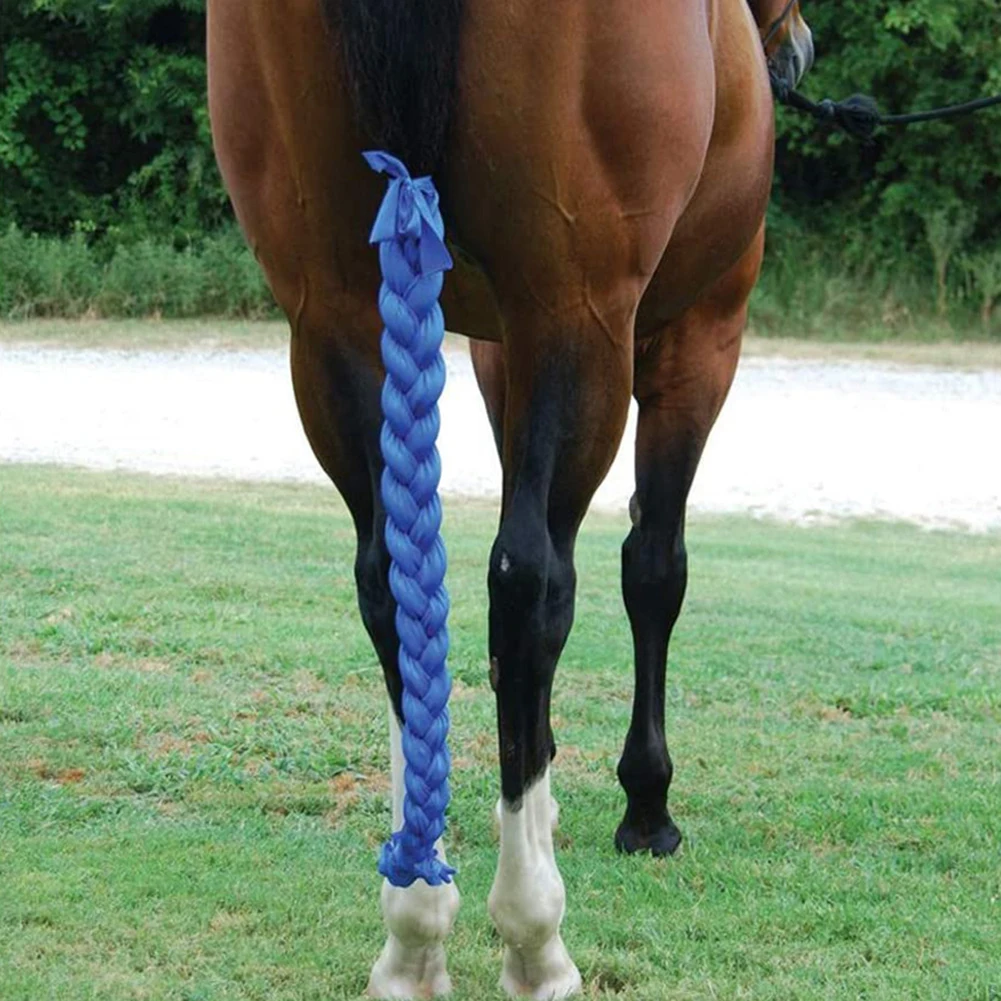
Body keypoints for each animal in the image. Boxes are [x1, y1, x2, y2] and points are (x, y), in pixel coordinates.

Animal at [206, 0, 814, 996]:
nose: (794, 48)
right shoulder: (698, 334)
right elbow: (653, 568)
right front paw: (645, 803)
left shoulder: (492, 346)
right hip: (579, 313)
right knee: (531, 585)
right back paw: (534, 934)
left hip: (331, 316)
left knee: (393, 586)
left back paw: (415, 924)